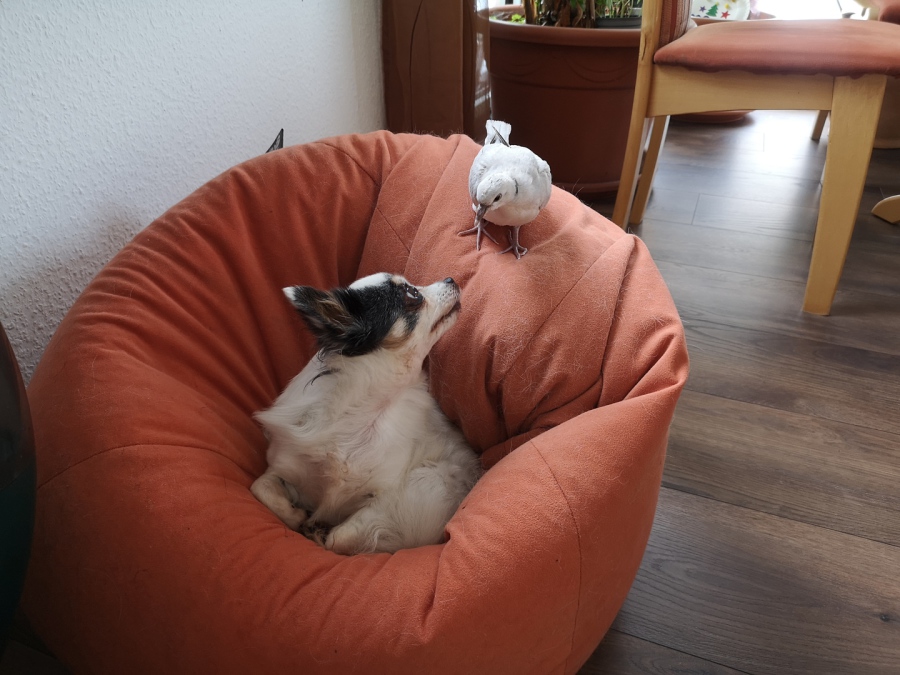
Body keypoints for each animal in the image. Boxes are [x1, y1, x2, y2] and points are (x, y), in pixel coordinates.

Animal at [251, 273, 482, 555]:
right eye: (412, 294)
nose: (450, 279)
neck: (360, 410)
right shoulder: (285, 465)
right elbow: (260, 486)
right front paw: (295, 515)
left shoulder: (388, 495)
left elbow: (340, 537)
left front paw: (318, 529)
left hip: (432, 480)